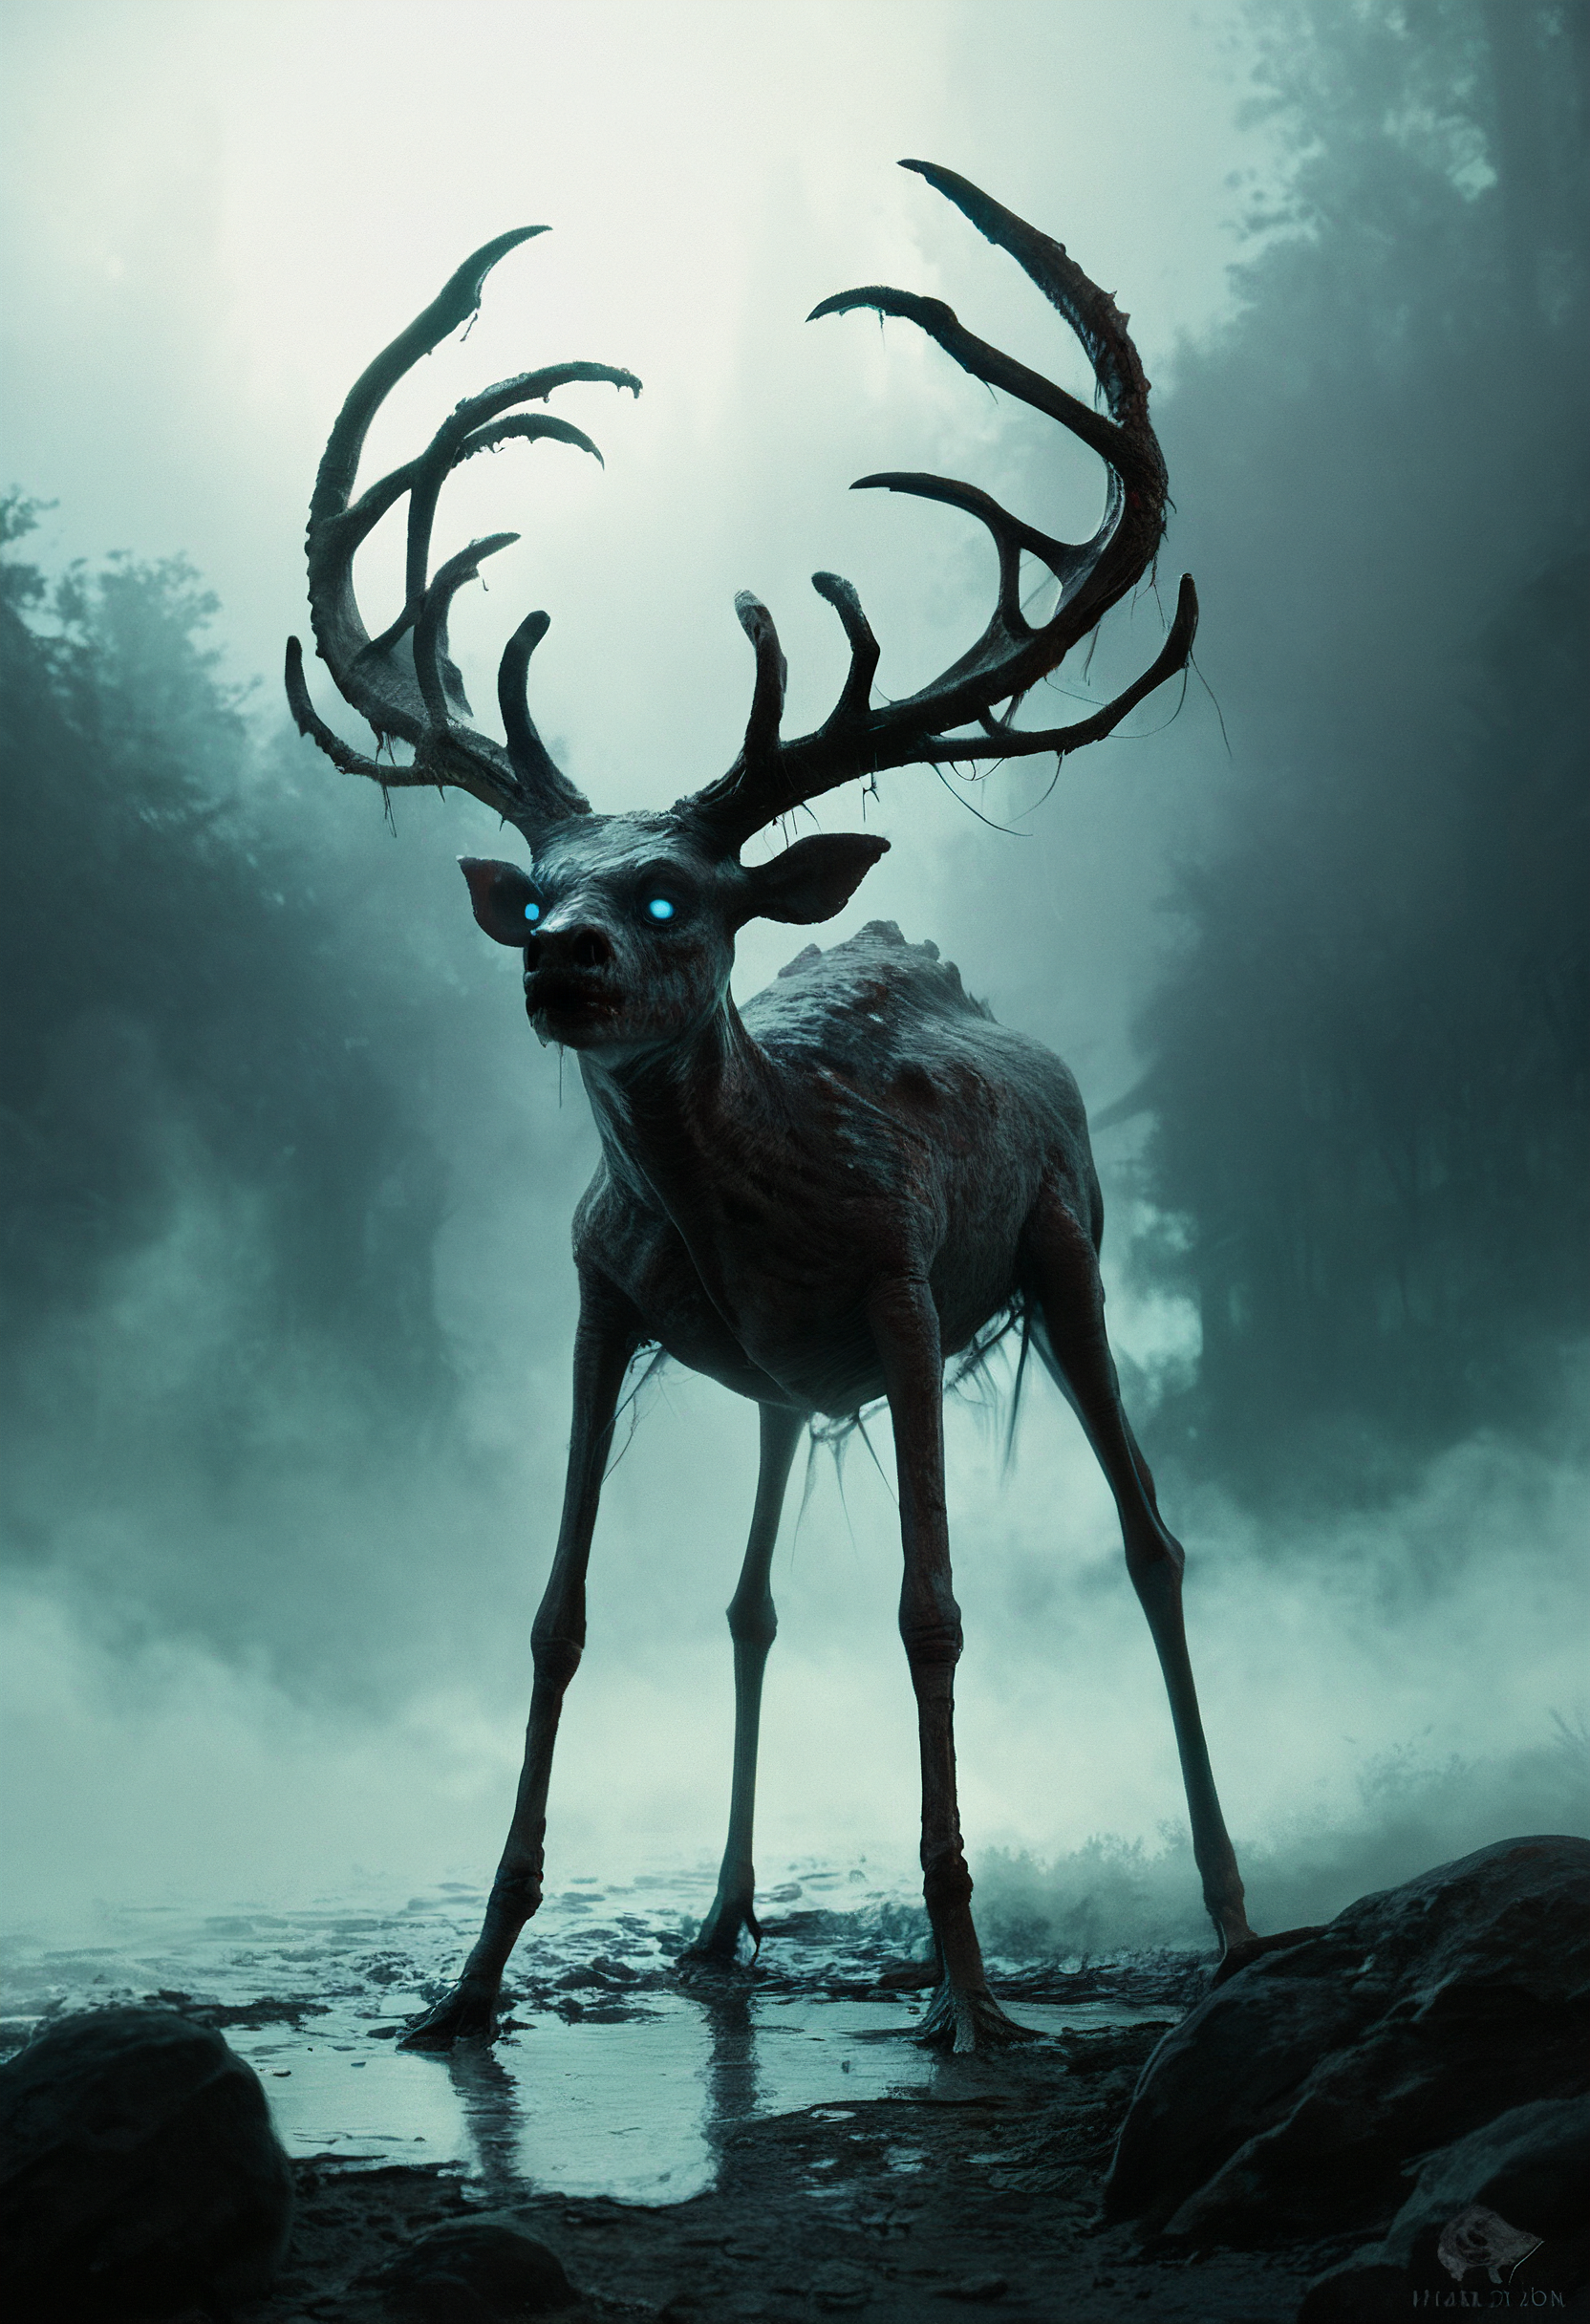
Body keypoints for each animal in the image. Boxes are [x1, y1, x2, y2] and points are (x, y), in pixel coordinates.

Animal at [286, 161, 1280, 2055]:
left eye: (678, 892)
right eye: (543, 891)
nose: (564, 962)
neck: (738, 1206)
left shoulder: (899, 1288)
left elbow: (931, 1611)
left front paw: (966, 1985)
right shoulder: (605, 1302)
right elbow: (558, 1617)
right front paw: (467, 1982)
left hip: (1063, 1252)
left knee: (1153, 1540)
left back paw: (1231, 1917)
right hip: (772, 1398)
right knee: (748, 1601)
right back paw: (720, 1921)